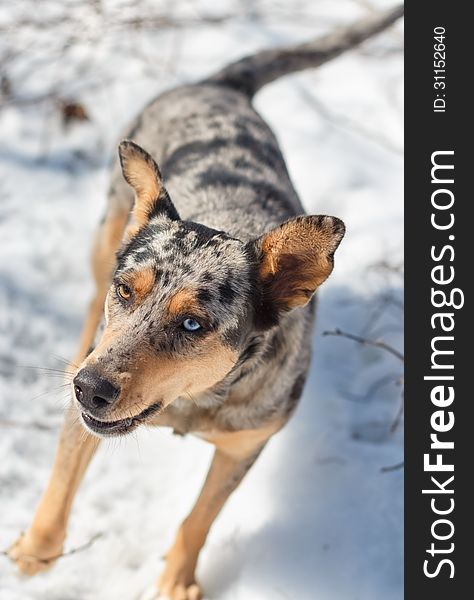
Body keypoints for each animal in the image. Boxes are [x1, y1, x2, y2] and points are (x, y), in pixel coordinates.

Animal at [9, 5, 402, 600]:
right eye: (127, 291)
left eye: (193, 324)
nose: (88, 387)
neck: (193, 400)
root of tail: (220, 85)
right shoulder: (88, 413)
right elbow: (61, 480)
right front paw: (36, 549)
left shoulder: (246, 443)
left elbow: (200, 517)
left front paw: (177, 580)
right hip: (105, 237)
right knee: (89, 303)